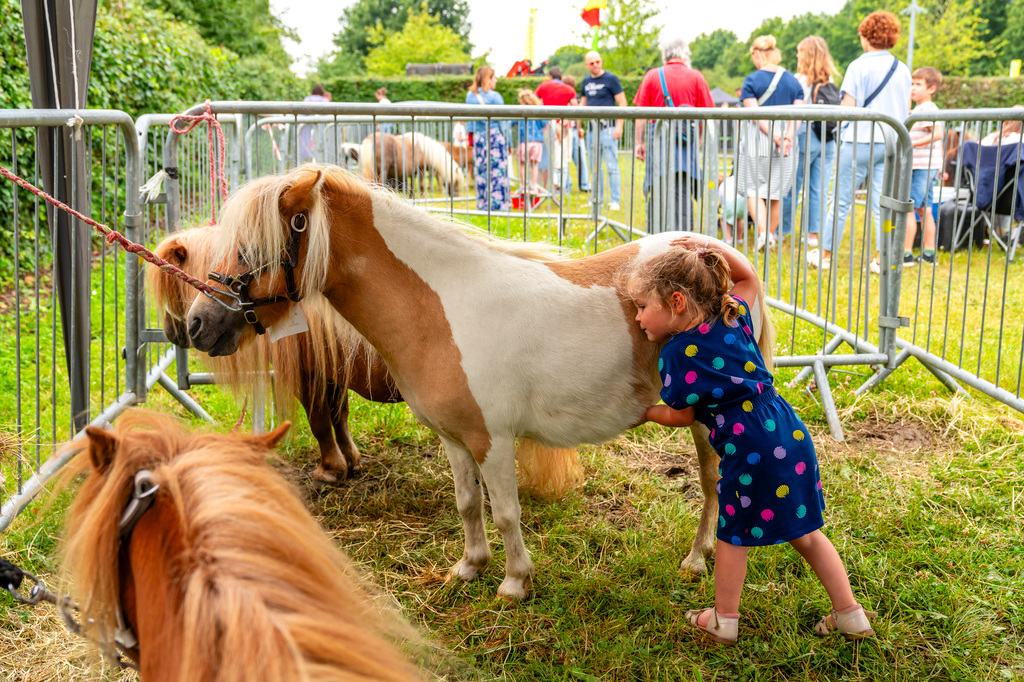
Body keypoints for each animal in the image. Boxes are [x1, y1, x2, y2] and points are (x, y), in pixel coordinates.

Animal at [147, 225, 399, 481]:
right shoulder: (332, 372)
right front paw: (350, 459)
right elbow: (339, 415)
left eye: (173, 287)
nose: (186, 328)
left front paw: (330, 468)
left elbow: (319, 422)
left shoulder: (308, 375)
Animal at [186, 163, 774, 593]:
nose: (196, 324)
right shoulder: (454, 438)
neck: (441, 306)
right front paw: (469, 567)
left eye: (250, 248)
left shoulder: (493, 440)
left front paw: (514, 583)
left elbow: (508, 512)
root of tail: (719, 258)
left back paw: (697, 560)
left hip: (707, 423)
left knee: (713, 485)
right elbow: (469, 504)